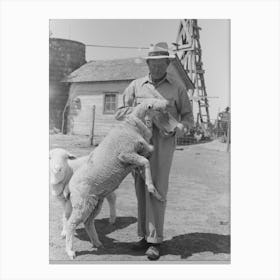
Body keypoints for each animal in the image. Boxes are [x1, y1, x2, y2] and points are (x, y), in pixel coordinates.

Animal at [64, 97, 167, 260]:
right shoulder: (126, 154)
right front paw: (152, 188)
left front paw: (155, 192)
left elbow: (145, 167)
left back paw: (97, 243)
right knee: (71, 224)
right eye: (155, 104)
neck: (133, 126)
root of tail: (70, 184)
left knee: (88, 222)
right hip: (82, 203)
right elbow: (146, 162)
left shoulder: (133, 162)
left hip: (95, 202)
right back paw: (70, 251)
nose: (168, 102)